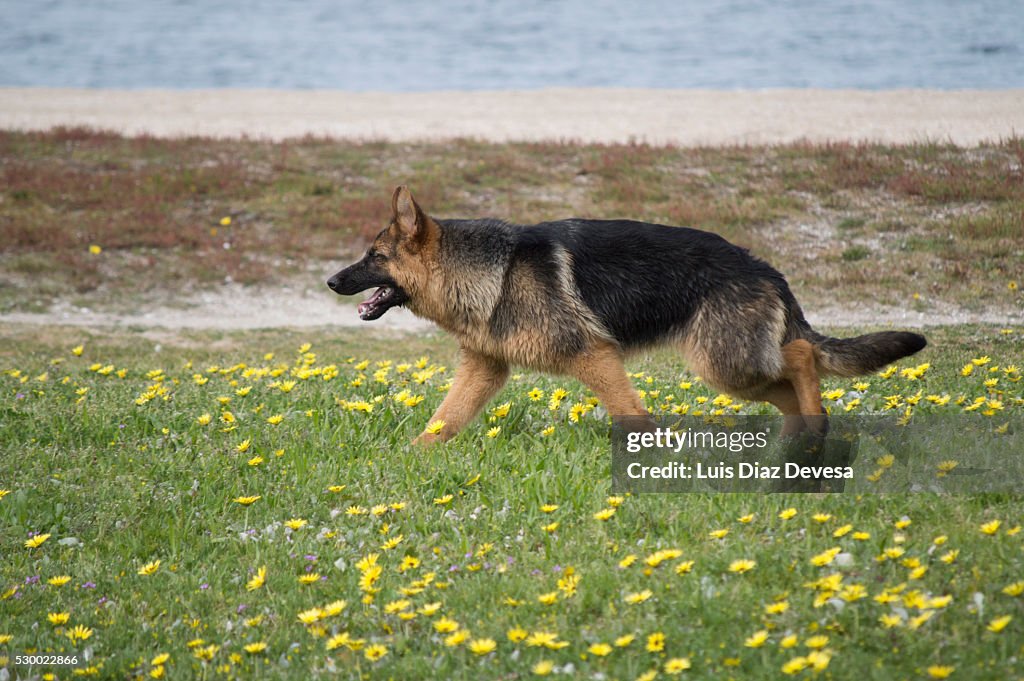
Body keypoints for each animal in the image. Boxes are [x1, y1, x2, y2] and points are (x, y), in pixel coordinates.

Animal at [327, 186, 929, 444]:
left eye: (374, 257)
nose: (331, 282)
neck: (488, 270)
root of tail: (764, 267)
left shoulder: (594, 356)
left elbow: (629, 412)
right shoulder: (484, 369)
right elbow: (442, 420)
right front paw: (411, 461)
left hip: (724, 365)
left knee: (802, 354)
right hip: (732, 371)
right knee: (791, 382)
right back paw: (801, 440)